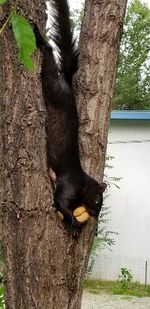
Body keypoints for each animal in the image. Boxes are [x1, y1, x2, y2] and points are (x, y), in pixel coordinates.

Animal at [34, 0, 106, 226]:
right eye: (98, 201)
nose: (95, 215)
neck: (84, 182)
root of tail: (66, 82)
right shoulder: (69, 185)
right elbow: (61, 201)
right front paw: (72, 220)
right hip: (53, 88)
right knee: (49, 57)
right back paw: (40, 37)